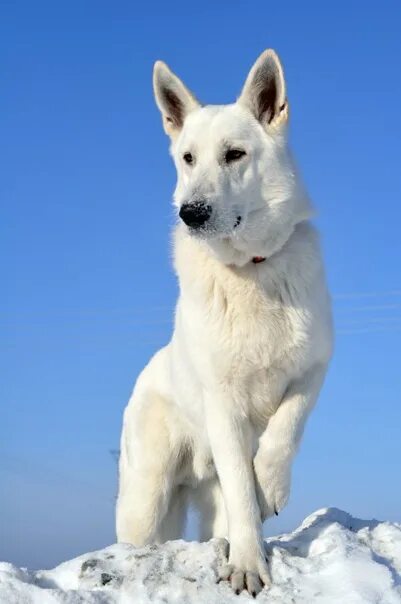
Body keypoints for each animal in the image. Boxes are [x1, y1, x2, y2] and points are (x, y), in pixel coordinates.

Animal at [115, 49, 332, 596]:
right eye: (188, 158)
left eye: (235, 154)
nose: (191, 213)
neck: (251, 269)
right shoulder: (224, 405)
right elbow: (242, 491)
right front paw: (249, 566)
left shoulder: (313, 370)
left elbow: (285, 430)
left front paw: (270, 483)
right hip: (145, 502)